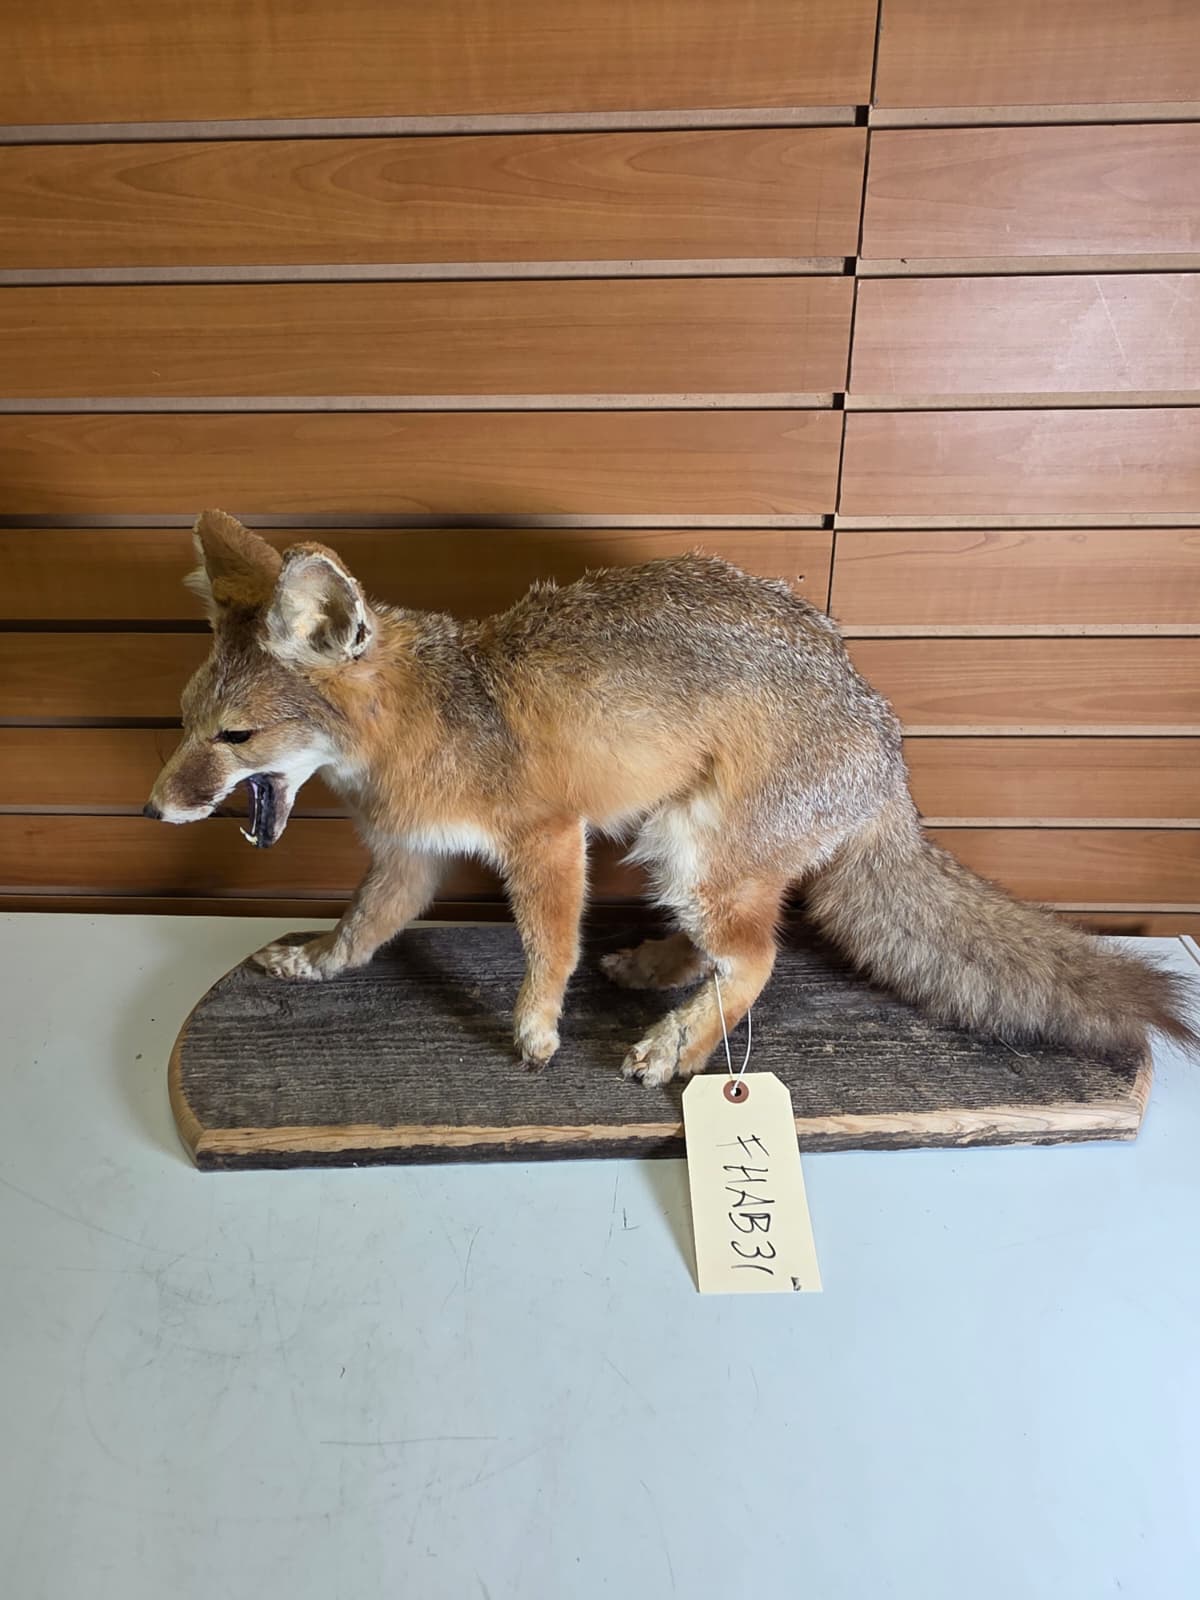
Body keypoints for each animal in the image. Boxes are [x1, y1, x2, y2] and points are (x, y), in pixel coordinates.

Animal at [146, 509, 1196, 1085]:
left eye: (235, 738)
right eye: (186, 722)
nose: (155, 810)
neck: (432, 714)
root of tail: (886, 741)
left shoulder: (547, 838)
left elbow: (550, 946)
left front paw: (536, 1030)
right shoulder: (412, 856)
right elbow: (362, 926)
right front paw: (315, 962)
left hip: (693, 852)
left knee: (760, 957)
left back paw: (676, 1045)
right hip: (677, 844)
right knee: (729, 949)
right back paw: (659, 974)